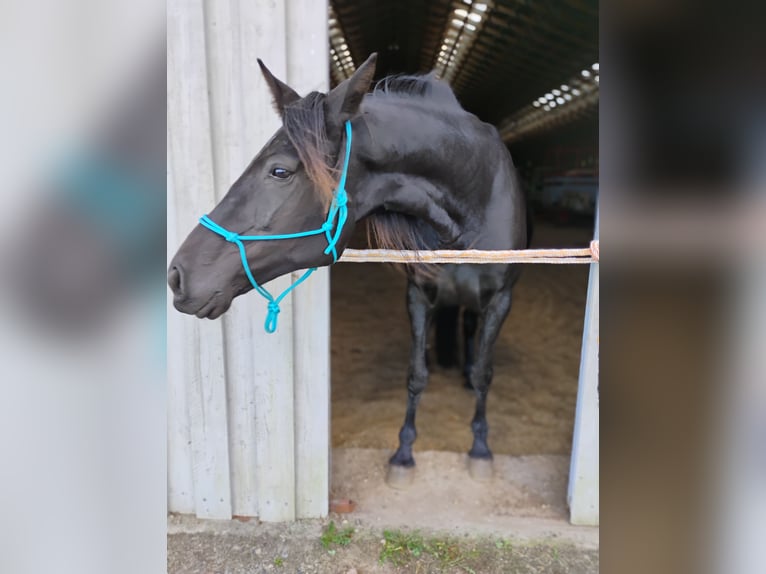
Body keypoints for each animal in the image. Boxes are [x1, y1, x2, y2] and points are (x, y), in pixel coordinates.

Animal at [168, 53, 528, 486]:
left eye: (279, 171)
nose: (177, 275)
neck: (471, 207)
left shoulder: (501, 301)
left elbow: (483, 375)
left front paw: (480, 449)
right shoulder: (418, 296)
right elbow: (416, 375)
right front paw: (403, 455)